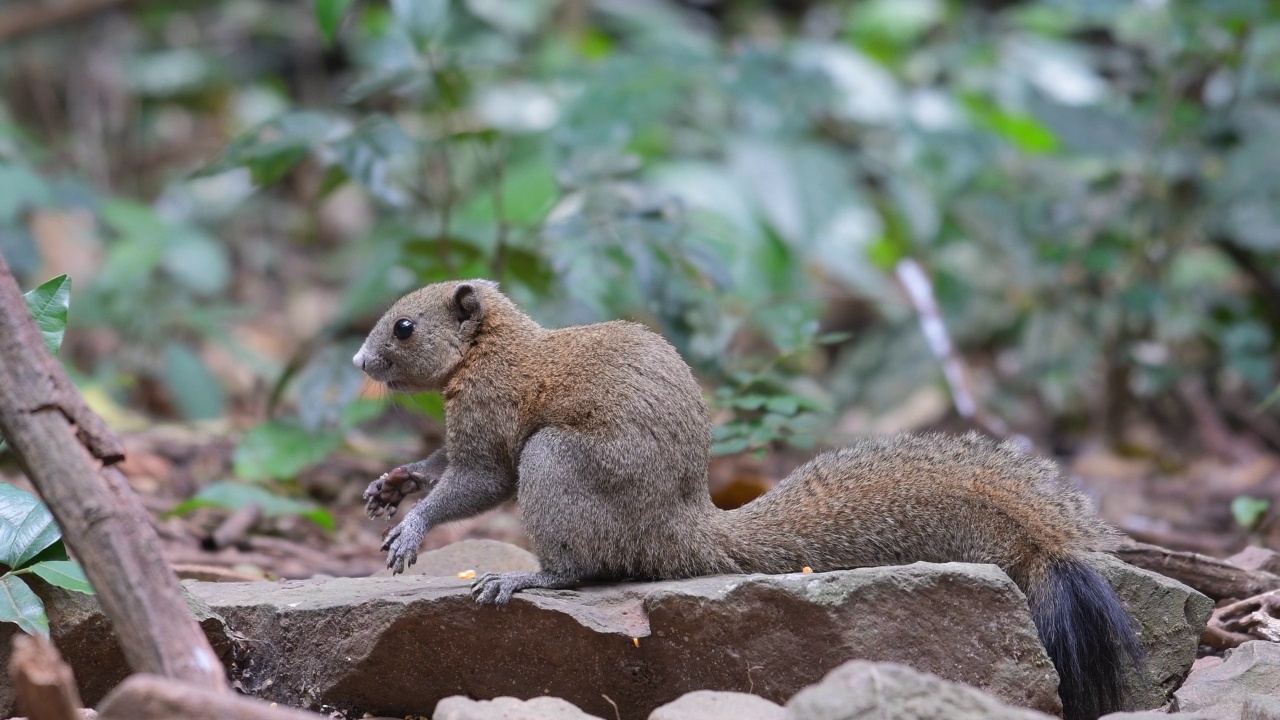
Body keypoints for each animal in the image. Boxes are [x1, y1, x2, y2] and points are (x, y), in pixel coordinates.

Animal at [350, 275, 1141, 717]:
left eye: (405, 326)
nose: (359, 361)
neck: (493, 346)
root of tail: (681, 528)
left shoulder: (494, 418)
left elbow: (480, 480)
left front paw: (412, 529)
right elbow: (440, 466)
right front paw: (394, 484)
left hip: (557, 466)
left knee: (582, 566)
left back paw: (527, 577)